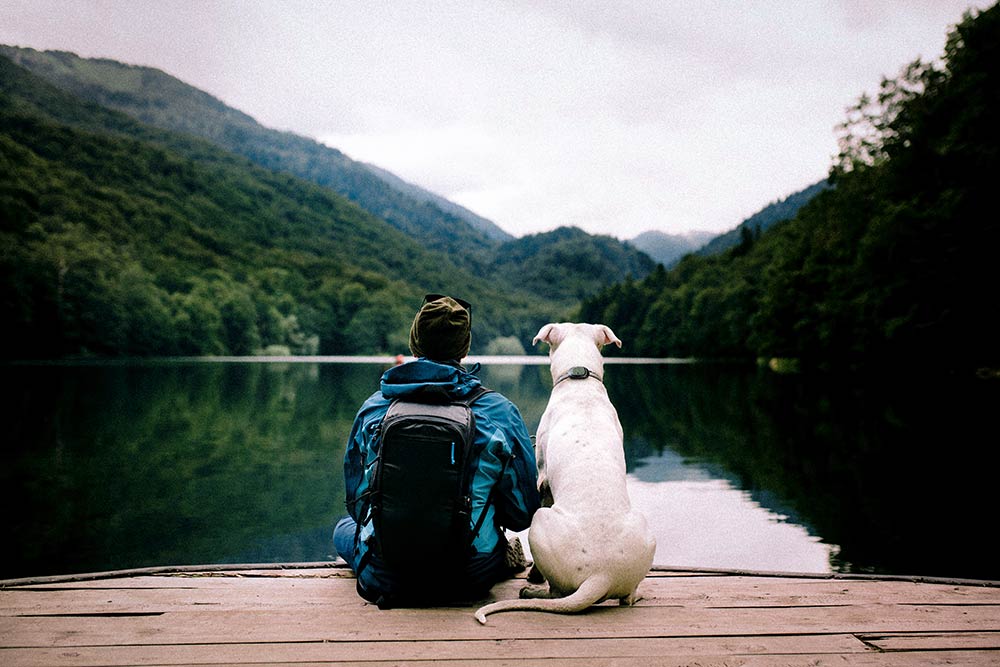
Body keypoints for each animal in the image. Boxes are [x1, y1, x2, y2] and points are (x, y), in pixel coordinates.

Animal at [476, 324, 656, 628]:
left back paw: (532, 590)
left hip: (540, 523)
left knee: (557, 592)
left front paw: (533, 576)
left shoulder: (542, 479)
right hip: (646, 533)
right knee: (627, 597)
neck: (579, 381)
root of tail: (600, 575)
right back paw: (638, 595)